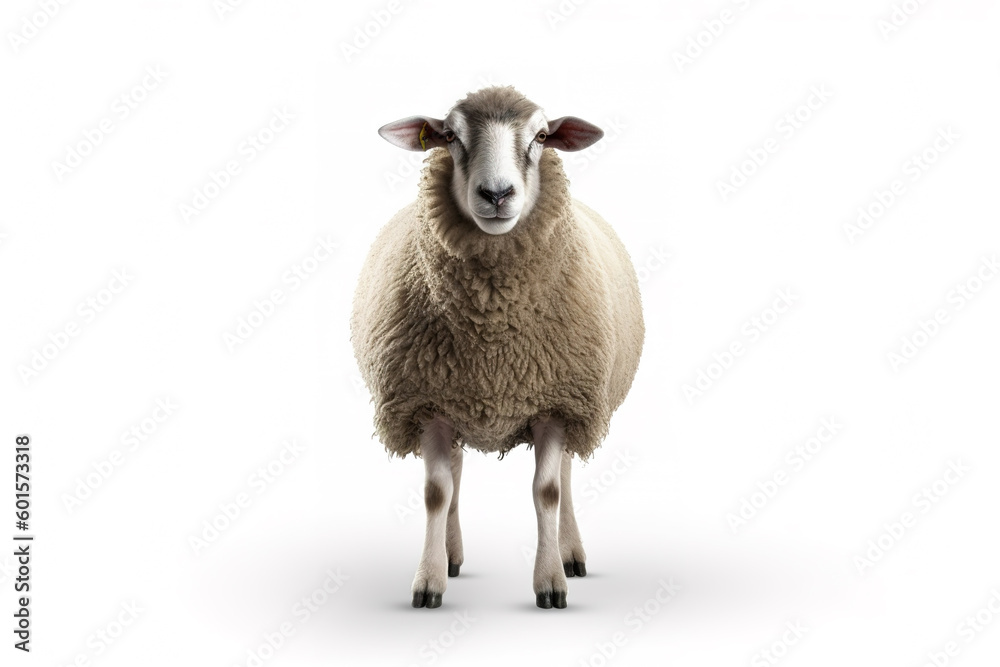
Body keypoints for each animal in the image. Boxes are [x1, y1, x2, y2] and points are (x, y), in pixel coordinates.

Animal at [351, 86, 644, 609]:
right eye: (449, 136)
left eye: (542, 136)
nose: (496, 194)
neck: (492, 343)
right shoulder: (429, 402)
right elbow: (436, 491)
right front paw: (428, 581)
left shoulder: (555, 402)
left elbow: (547, 490)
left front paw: (550, 583)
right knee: (456, 472)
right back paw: (451, 555)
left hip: (578, 400)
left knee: (565, 474)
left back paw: (571, 553)